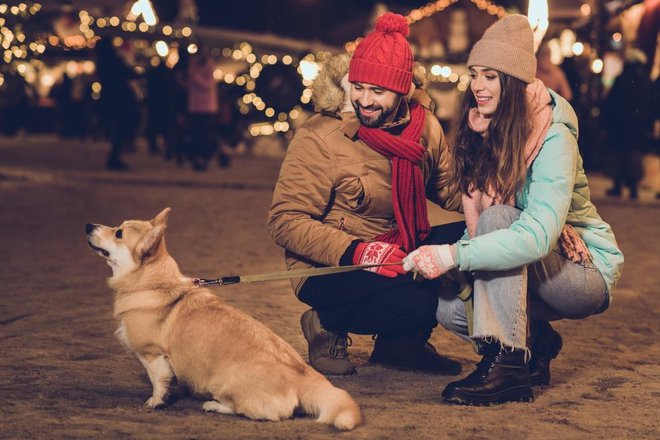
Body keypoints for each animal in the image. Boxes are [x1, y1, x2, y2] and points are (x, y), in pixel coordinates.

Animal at [85, 209, 364, 430]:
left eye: (119, 233)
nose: (88, 226)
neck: (152, 283)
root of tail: (302, 376)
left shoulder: (152, 355)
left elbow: (158, 382)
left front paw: (156, 402)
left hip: (223, 383)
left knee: (262, 413)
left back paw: (213, 405)